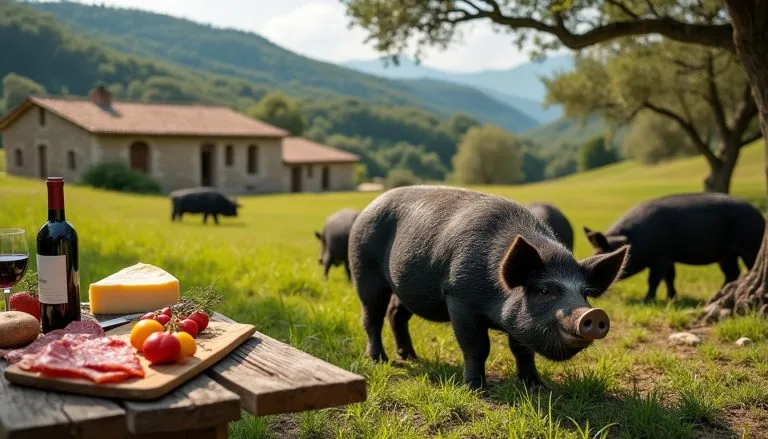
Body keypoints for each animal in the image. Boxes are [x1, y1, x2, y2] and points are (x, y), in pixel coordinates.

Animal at [348, 186, 628, 390]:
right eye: (545, 290)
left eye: (585, 294)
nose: (593, 313)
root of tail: (367, 208)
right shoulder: (458, 297)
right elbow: (477, 347)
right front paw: (475, 388)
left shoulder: (518, 325)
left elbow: (523, 350)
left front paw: (537, 386)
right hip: (365, 269)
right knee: (372, 316)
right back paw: (380, 360)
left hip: (406, 288)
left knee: (396, 313)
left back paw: (410, 356)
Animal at [583, 192, 765, 303]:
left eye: (602, 251)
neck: (637, 239)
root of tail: (761, 217)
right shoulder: (668, 257)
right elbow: (669, 277)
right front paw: (671, 297)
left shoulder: (660, 256)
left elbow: (654, 279)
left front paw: (647, 300)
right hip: (726, 254)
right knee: (732, 272)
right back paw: (716, 295)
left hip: (750, 244)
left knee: (747, 267)